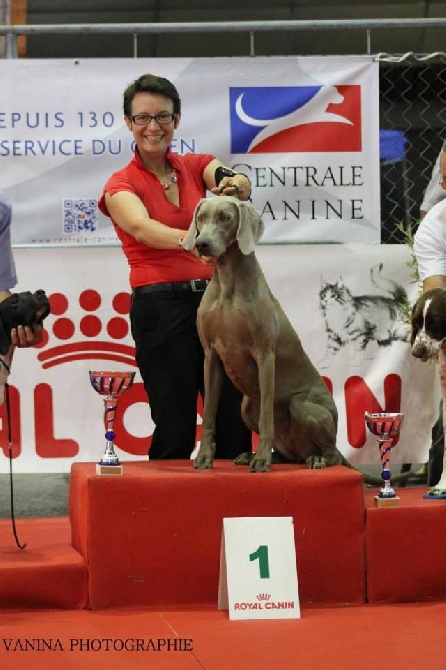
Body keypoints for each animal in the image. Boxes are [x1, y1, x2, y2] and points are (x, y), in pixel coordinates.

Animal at [182, 197, 344, 476]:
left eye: (225, 217)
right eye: (201, 217)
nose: (202, 243)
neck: (228, 281)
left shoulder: (265, 356)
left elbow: (267, 415)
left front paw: (261, 460)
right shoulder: (211, 356)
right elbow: (210, 412)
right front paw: (204, 457)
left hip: (302, 405)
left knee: (330, 450)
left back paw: (316, 459)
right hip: (246, 406)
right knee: (289, 454)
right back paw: (254, 455)